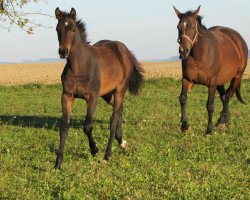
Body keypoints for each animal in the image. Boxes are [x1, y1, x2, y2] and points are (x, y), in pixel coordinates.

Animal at [54, 7, 145, 169]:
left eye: (73, 29)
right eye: (58, 29)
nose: (63, 51)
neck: (79, 67)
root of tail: (125, 51)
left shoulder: (92, 98)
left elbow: (87, 126)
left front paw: (95, 150)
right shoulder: (67, 96)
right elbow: (64, 127)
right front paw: (58, 163)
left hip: (119, 90)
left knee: (113, 119)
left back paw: (107, 155)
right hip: (107, 94)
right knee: (119, 110)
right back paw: (121, 142)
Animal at [174, 5, 248, 134]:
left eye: (193, 27)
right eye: (178, 27)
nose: (183, 51)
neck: (199, 56)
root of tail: (238, 38)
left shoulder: (212, 82)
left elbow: (210, 105)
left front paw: (209, 130)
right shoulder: (186, 79)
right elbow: (183, 99)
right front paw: (184, 125)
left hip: (236, 76)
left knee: (228, 96)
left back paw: (222, 121)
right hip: (220, 81)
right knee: (223, 96)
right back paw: (223, 120)